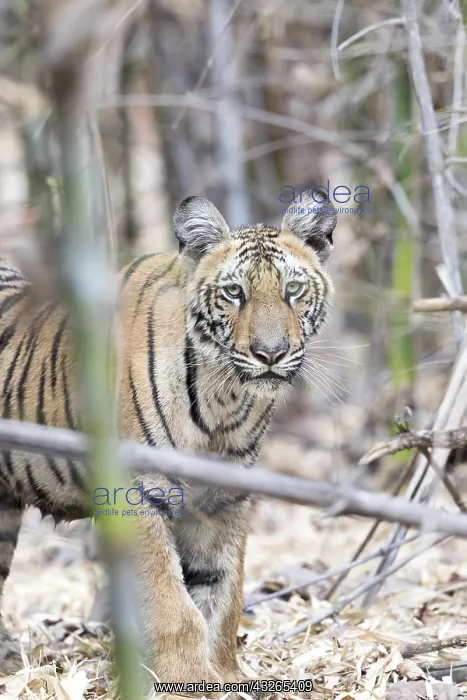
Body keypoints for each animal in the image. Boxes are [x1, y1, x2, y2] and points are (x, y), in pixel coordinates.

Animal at [0, 189, 336, 684]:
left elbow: (222, 594)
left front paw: (226, 677)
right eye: (234, 293)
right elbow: (170, 601)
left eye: (292, 290)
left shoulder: (223, 499)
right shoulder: (136, 492)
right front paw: (187, 679)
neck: (224, 400)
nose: (271, 354)